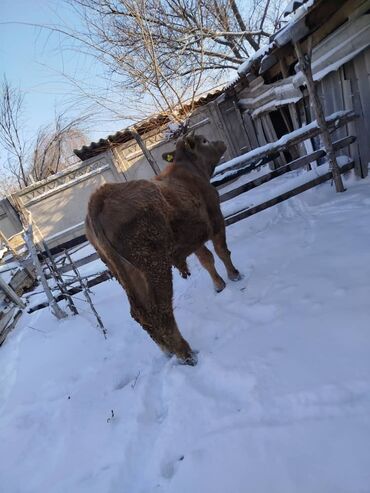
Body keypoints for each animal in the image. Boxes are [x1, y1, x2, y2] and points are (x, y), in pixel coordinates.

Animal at [85, 133, 241, 364]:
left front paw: (219, 285)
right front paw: (234, 275)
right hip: (154, 265)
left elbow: (206, 259)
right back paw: (186, 354)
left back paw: (167, 350)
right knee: (161, 309)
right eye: (203, 141)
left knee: (140, 313)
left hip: (126, 273)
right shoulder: (215, 220)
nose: (220, 142)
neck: (189, 169)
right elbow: (222, 251)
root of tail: (99, 196)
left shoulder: (193, 236)